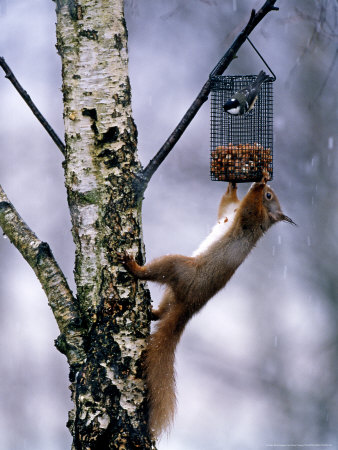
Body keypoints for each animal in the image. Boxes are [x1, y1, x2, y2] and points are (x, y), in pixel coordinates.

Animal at [121, 171, 294, 436]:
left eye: (269, 196)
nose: (261, 185)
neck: (264, 222)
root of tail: (190, 306)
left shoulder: (250, 221)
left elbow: (248, 209)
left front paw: (259, 181)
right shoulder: (230, 214)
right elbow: (226, 206)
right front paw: (233, 185)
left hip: (179, 268)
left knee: (158, 272)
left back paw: (135, 268)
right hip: (173, 293)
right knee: (163, 312)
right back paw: (152, 311)